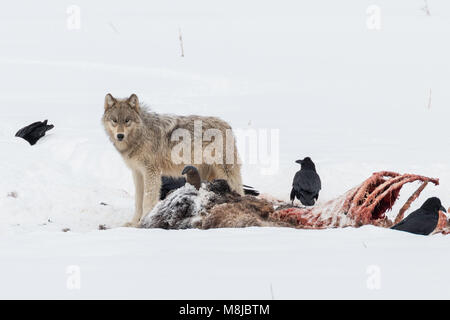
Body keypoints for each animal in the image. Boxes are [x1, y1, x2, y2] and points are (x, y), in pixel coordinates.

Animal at [102, 94, 244, 226]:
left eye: (127, 120)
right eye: (114, 120)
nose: (120, 135)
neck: (141, 134)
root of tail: (227, 125)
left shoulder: (151, 172)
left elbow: (147, 200)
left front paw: (143, 222)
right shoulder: (137, 172)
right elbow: (138, 201)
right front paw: (133, 223)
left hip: (225, 173)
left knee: (240, 191)